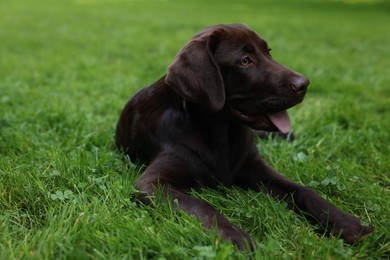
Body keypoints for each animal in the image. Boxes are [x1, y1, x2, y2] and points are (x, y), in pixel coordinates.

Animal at [115, 24, 372, 250]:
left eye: (268, 52)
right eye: (245, 61)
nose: (304, 84)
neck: (221, 135)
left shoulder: (254, 167)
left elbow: (304, 190)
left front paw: (347, 223)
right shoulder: (152, 183)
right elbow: (201, 205)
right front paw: (235, 236)